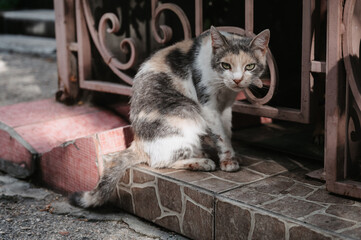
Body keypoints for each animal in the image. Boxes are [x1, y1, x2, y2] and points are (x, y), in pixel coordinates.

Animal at [69, 25, 268, 207]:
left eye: (250, 66)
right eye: (226, 65)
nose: (237, 79)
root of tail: (137, 142)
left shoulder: (226, 107)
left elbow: (227, 132)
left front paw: (232, 155)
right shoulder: (208, 106)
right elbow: (220, 135)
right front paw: (228, 162)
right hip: (187, 111)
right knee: (159, 162)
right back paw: (202, 162)